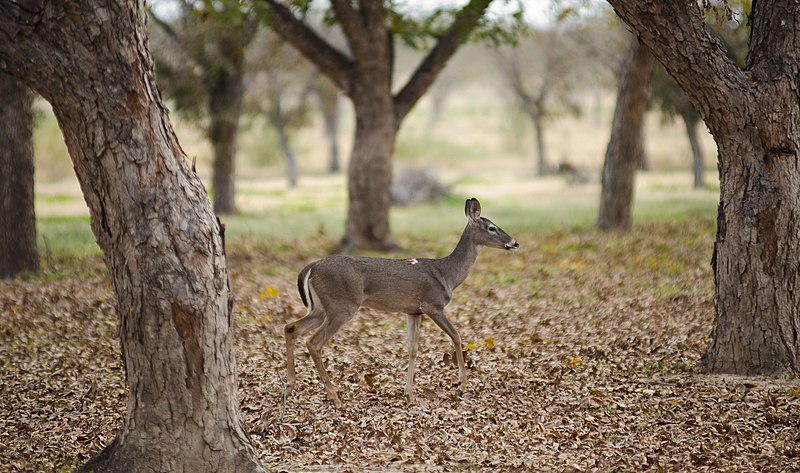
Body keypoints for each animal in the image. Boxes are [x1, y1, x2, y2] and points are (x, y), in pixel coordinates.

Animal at [284, 196, 520, 406]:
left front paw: (409, 394)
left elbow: (412, 348)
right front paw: (461, 386)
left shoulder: (413, 311)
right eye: (491, 228)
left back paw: (290, 385)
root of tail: (311, 267)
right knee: (313, 342)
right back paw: (335, 397)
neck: (448, 275)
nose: (515, 242)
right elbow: (456, 336)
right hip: (341, 306)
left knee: (291, 328)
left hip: (320, 308)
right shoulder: (432, 304)